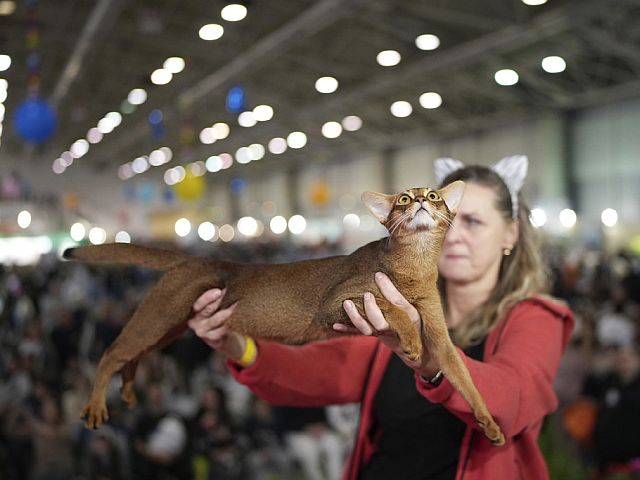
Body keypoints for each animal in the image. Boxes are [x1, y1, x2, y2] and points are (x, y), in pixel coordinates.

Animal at [65, 181, 504, 446]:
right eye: (403, 199)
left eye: (434, 196)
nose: (422, 201)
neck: (415, 269)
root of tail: (196, 260)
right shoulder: (339, 302)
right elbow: (392, 305)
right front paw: (409, 341)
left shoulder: (440, 337)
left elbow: (464, 379)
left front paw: (490, 425)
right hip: (160, 315)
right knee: (111, 352)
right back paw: (95, 406)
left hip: (171, 325)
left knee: (132, 354)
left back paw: (127, 388)